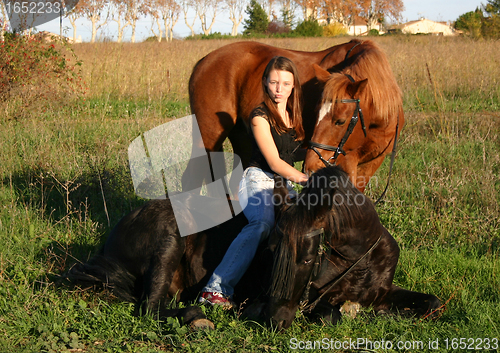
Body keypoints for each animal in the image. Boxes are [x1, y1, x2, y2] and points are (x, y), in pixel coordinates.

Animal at [61, 166, 438, 328]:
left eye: (307, 259)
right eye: (272, 253)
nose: (273, 320)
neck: (357, 258)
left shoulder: (381, 291)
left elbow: (432, 303)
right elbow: (330, 314)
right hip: (169, 240)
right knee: (150, 308)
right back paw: (198, 316)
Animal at [186, 40, 404, 197]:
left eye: (340, 121)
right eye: (316, 113)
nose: (311, 167)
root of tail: (203, 61)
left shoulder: (371, 163)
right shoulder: (346, 162)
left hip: (243, 141)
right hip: (207, 139)